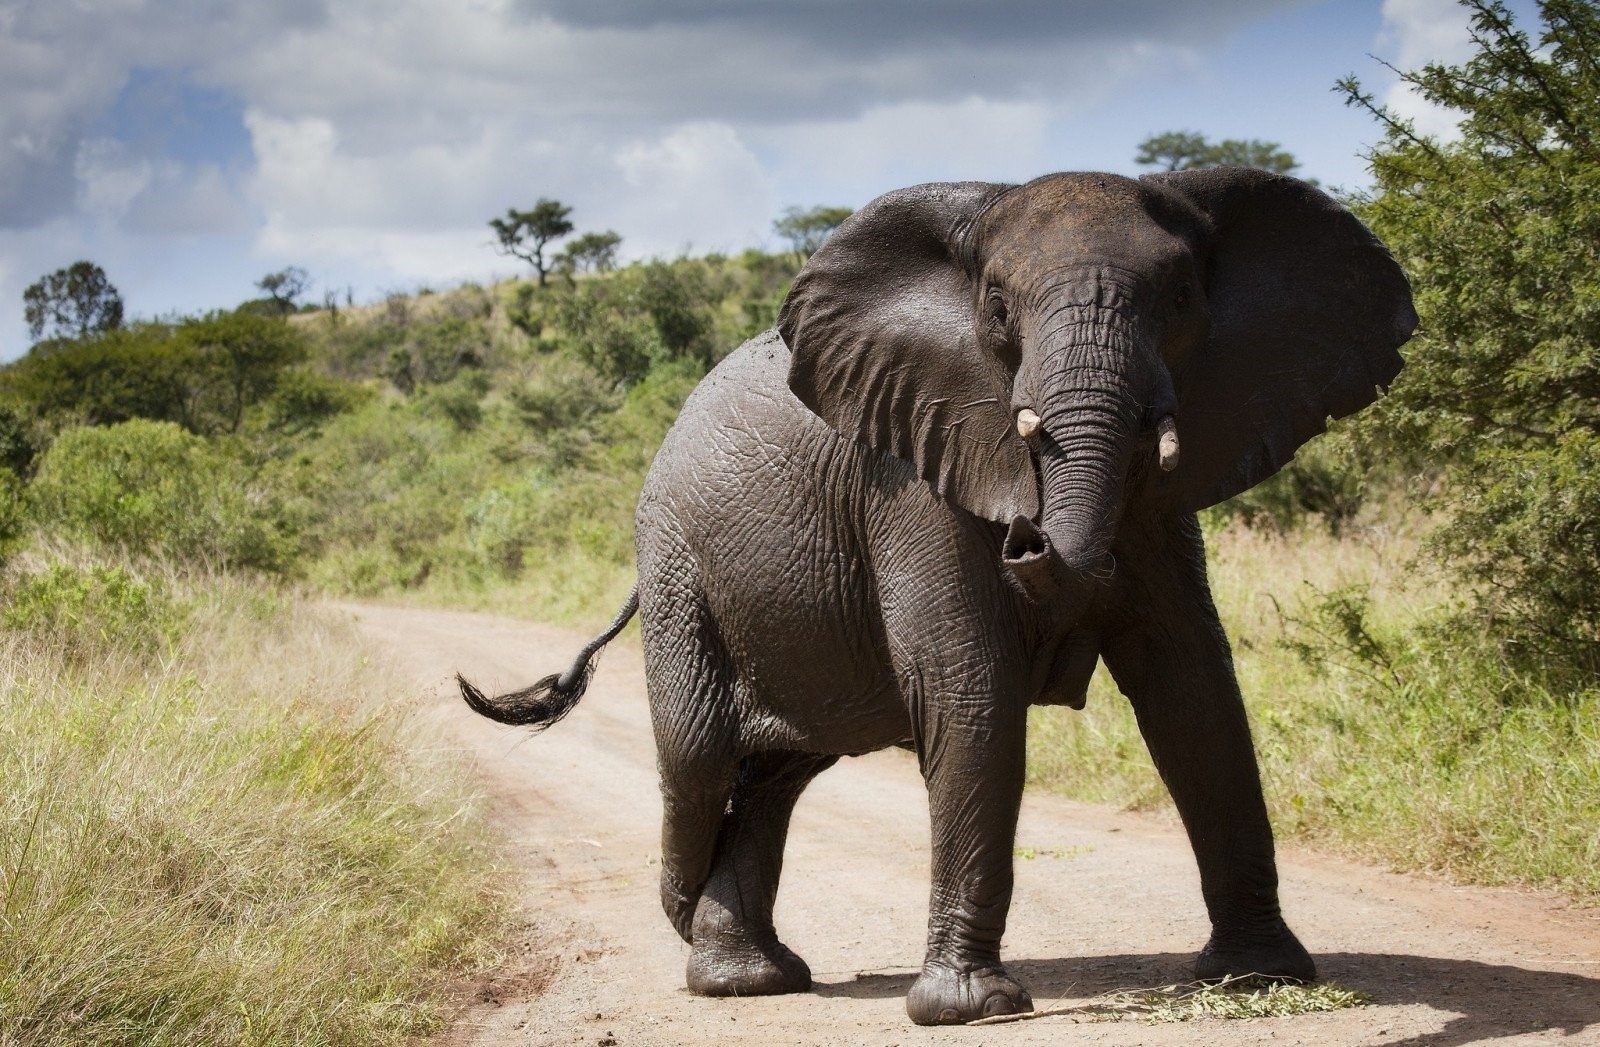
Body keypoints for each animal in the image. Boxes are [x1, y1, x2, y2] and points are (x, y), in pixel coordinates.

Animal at [457, 168, 1420, 1030]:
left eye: (1183, 297)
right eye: (997, 309)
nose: (1026, 534)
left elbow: (1193, 687)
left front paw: (1263, 976)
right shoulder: (914, 476)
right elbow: (971, 689)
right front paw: (968, 1008)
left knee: (775, 775)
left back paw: (749, 974)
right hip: (676, 562)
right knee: (701, 758)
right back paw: (715, 946)